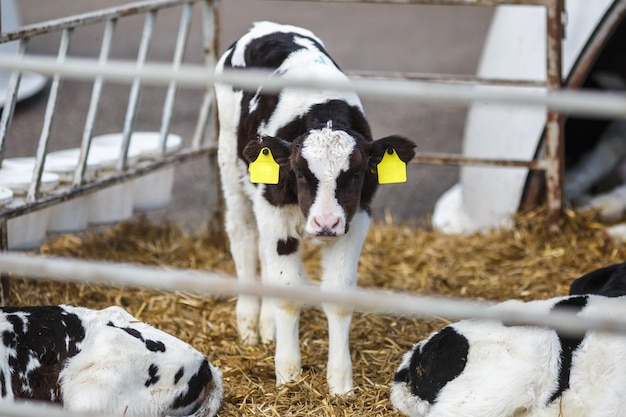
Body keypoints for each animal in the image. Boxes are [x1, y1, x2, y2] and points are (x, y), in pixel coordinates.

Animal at [213, 22, 414, 394]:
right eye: (301, 173)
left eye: (355, 175)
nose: (325, 223)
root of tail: (265, 27)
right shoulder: (275, 209)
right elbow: (288, 292)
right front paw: (288, 375)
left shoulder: (355, 217)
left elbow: (338, 295)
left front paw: (341, 382)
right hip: (231, 167)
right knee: (243, 237)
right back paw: (249, 323)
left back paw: (267, 326)